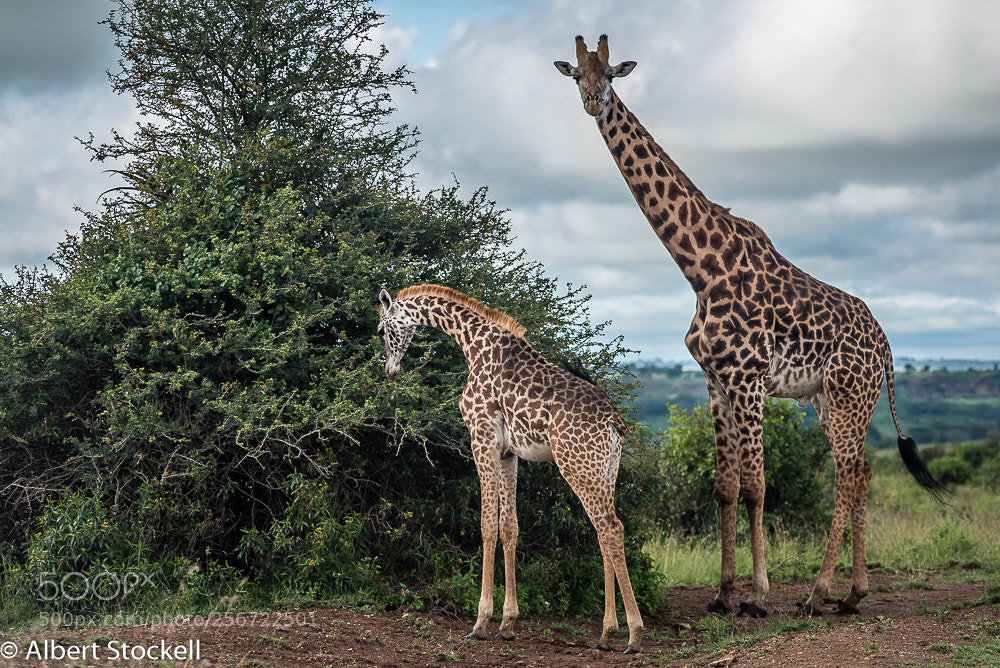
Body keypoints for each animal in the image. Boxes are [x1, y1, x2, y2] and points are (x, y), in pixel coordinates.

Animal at [376, 284, 644, 653]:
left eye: (381, 330)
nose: (390, 370)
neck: (472, 342)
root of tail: (613, 420)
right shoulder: (509, 453)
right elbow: (510, 526)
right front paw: (507, 623)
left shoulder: (482, 437)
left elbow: (488, 524)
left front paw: (480, 622)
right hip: (606, 469)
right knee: (604, 532)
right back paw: (606, 635)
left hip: (577, 464)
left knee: (611, 529)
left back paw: (633, 635)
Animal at [555, 35, 947, 617]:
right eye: (577, 75)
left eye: (611, 74)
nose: (592, 102)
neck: (701, 270)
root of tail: (887, 347)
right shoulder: (715, 381)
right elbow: (724, 485)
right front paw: (723, 593)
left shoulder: (749, 379)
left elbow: (757, 485)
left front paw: (759, 594)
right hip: (831, 400)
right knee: (862, 471)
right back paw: (854, 592)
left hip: (849, 395)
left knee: (845, 475)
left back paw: (818, 592)